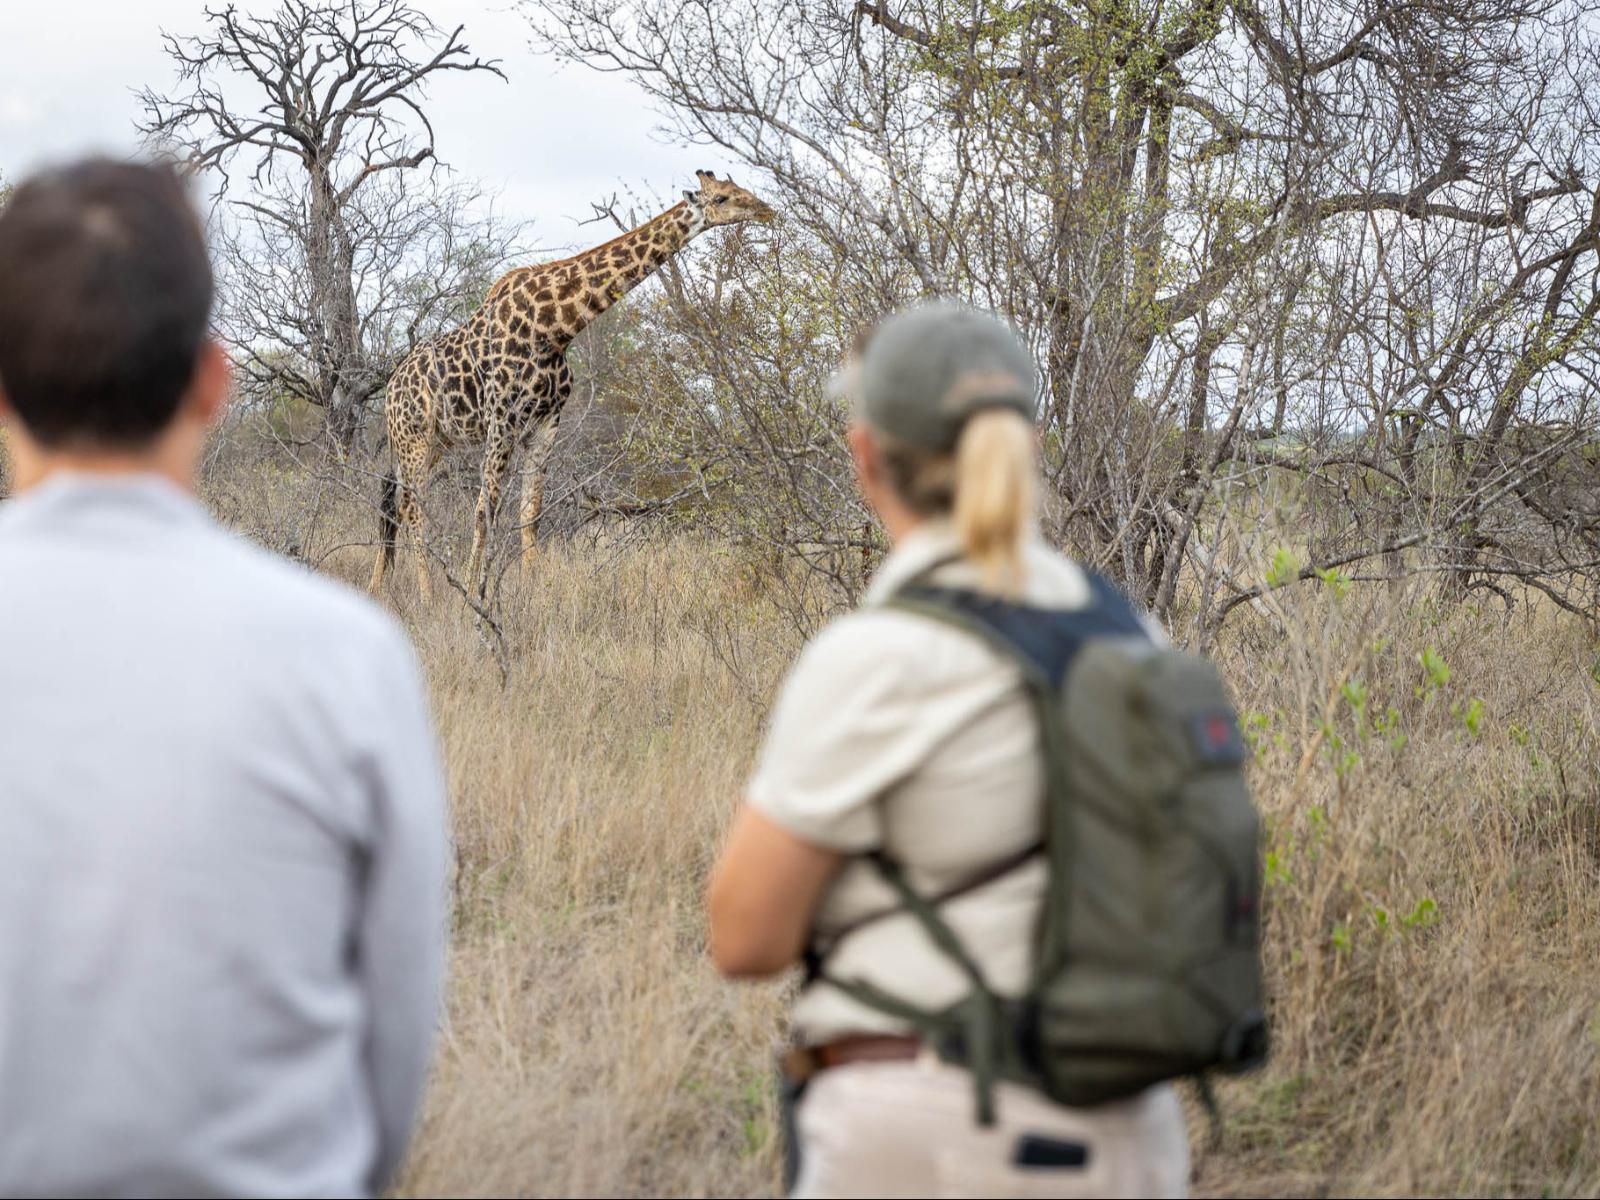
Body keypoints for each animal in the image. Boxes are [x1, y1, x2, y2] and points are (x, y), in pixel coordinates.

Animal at [374, 167, 774, 598]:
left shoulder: (545, 422)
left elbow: (530, 512)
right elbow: (485, 510)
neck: (555, 327)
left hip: (434, 442)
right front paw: (471, 593)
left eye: (739, 188)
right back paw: (426, 592)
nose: (765, 210)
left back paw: (379, 584)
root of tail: (390, 389)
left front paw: (533, 590)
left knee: (395, 504)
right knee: (413, 507)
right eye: (721, 198)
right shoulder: (502, 420)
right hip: (414, 438)